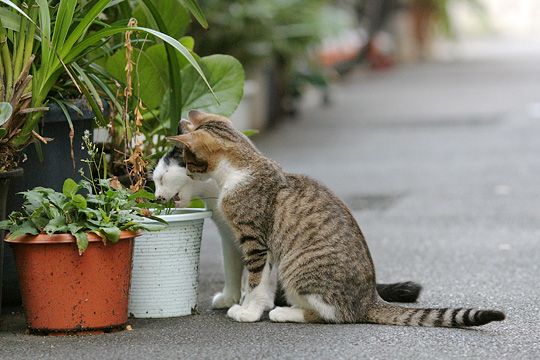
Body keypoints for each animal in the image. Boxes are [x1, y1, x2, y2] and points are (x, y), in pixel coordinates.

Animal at [169, 110, 506, 326]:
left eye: (186, 160)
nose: (186, 172)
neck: (244, 165)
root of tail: (370, 298)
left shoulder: (255, 241)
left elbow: (253, 282)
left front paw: (248, 312)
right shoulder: (266, 250)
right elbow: (262, 283)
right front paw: (253, 307)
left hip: (298, 266)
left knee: (334, 315)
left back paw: (287, 313)